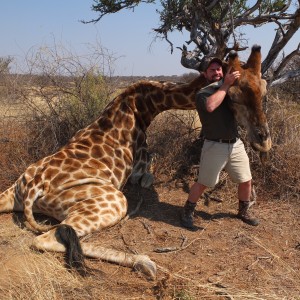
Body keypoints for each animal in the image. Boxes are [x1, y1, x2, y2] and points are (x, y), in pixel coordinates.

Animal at [0, 44, 270, 278]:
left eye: (264, 90)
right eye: (232, 96)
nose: (263, 140)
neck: (144, 105)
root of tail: (32, 188)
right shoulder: (139, 171)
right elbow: (148, 175)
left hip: (12, 193)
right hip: (114, 200)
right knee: (47, 238)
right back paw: (144, 261)